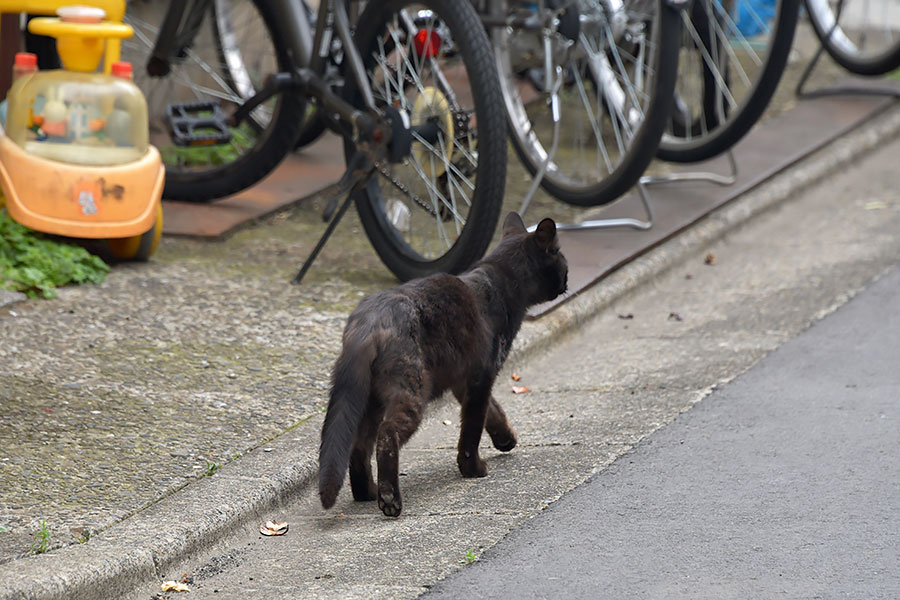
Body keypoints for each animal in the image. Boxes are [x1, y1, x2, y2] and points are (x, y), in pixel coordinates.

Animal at [320, 212, 568, 516]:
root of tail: (369, 322)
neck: (500, 281)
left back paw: (367, 492)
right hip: (411, 390)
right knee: (387, 434)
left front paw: (505, 438)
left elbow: (493, 411)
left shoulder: (464, 380)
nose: (567, 278)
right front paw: (472, 468)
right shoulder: (481, 376)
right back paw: (389, 499)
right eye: (560, 256)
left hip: (369, 399)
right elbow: (472, 427)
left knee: (359, 444)